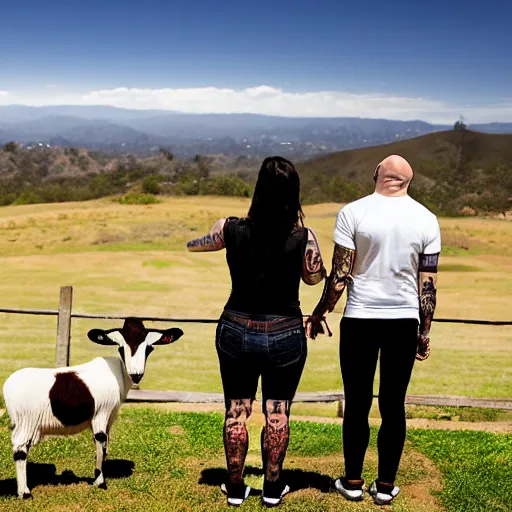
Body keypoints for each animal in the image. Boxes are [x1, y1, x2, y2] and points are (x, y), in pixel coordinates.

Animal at [2, 318, 184, 498]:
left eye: (149, 348)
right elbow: (101, 439)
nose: (136, 374)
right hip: (26, 421)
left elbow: (104, 445)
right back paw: (24, 493)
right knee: (19, 450)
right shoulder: (101, 413)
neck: (118, 374)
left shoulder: (109, 417)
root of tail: (7, 386)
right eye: (121, 347)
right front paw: (100, 482)